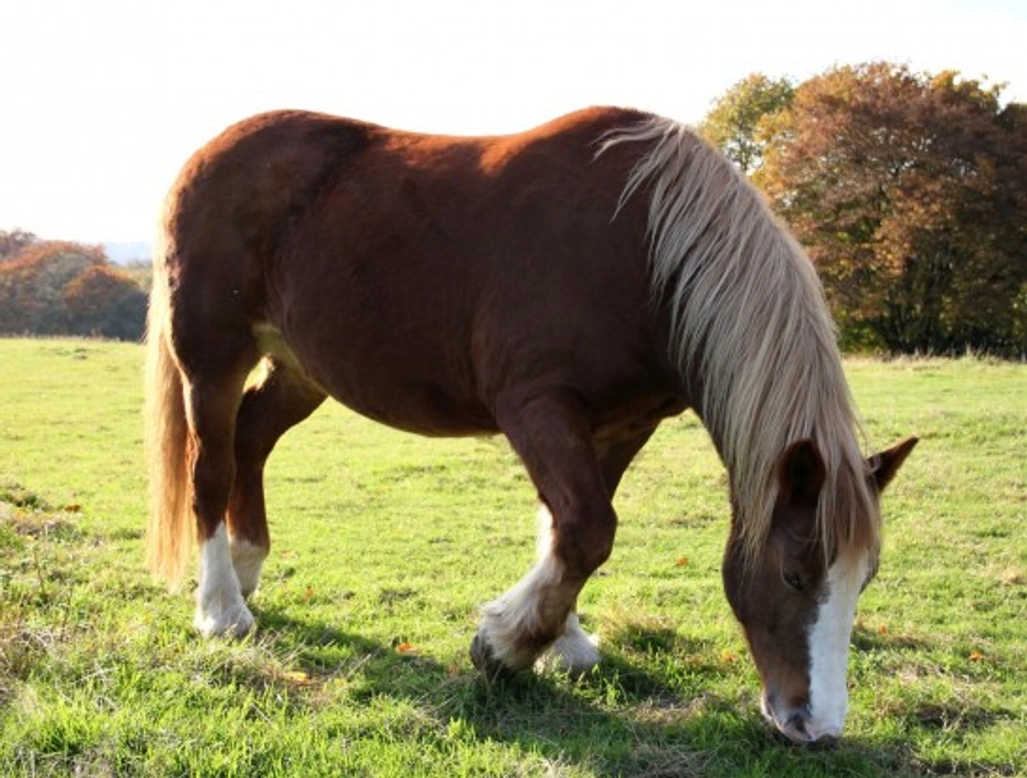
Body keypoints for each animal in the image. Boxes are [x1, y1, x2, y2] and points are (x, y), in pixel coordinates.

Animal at [144, 106, 916, 744]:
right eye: (793, 576)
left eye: (865, 579)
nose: (816, 727)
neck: (644, 250)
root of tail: (206, 154)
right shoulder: (535, 407)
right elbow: (586, 528)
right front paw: (504, 647)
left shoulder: (620, 423)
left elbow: (569, 529)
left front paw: (562, 643)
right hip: (212, 361)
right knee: (210, 469)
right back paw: (221, 610)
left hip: (301, 369)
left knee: (252, 438)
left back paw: (246, 568)